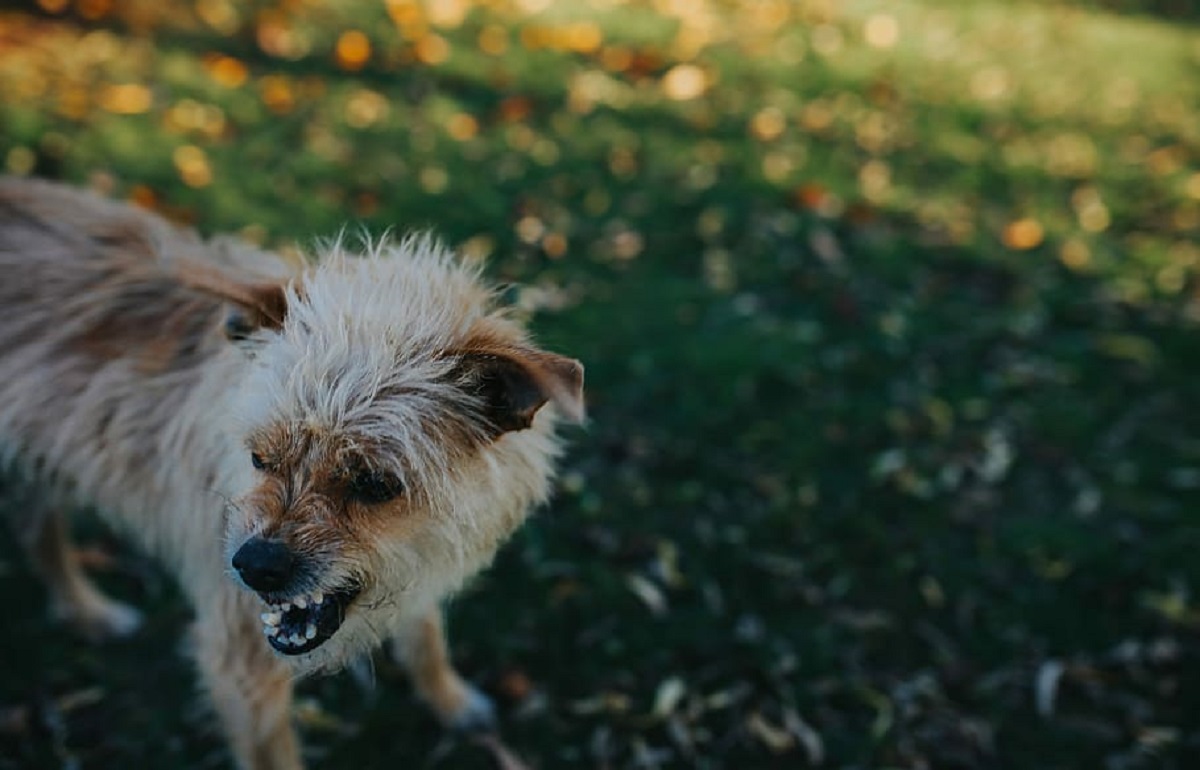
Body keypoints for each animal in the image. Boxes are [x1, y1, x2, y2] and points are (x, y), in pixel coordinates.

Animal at [0, 175, 583, 767]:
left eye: (375, 484)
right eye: (260, 458)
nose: (253, 566)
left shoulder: (421, 561)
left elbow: (425, 635)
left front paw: (450, 698)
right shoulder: (242, 662)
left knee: (35, 528)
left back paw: (85, 611)